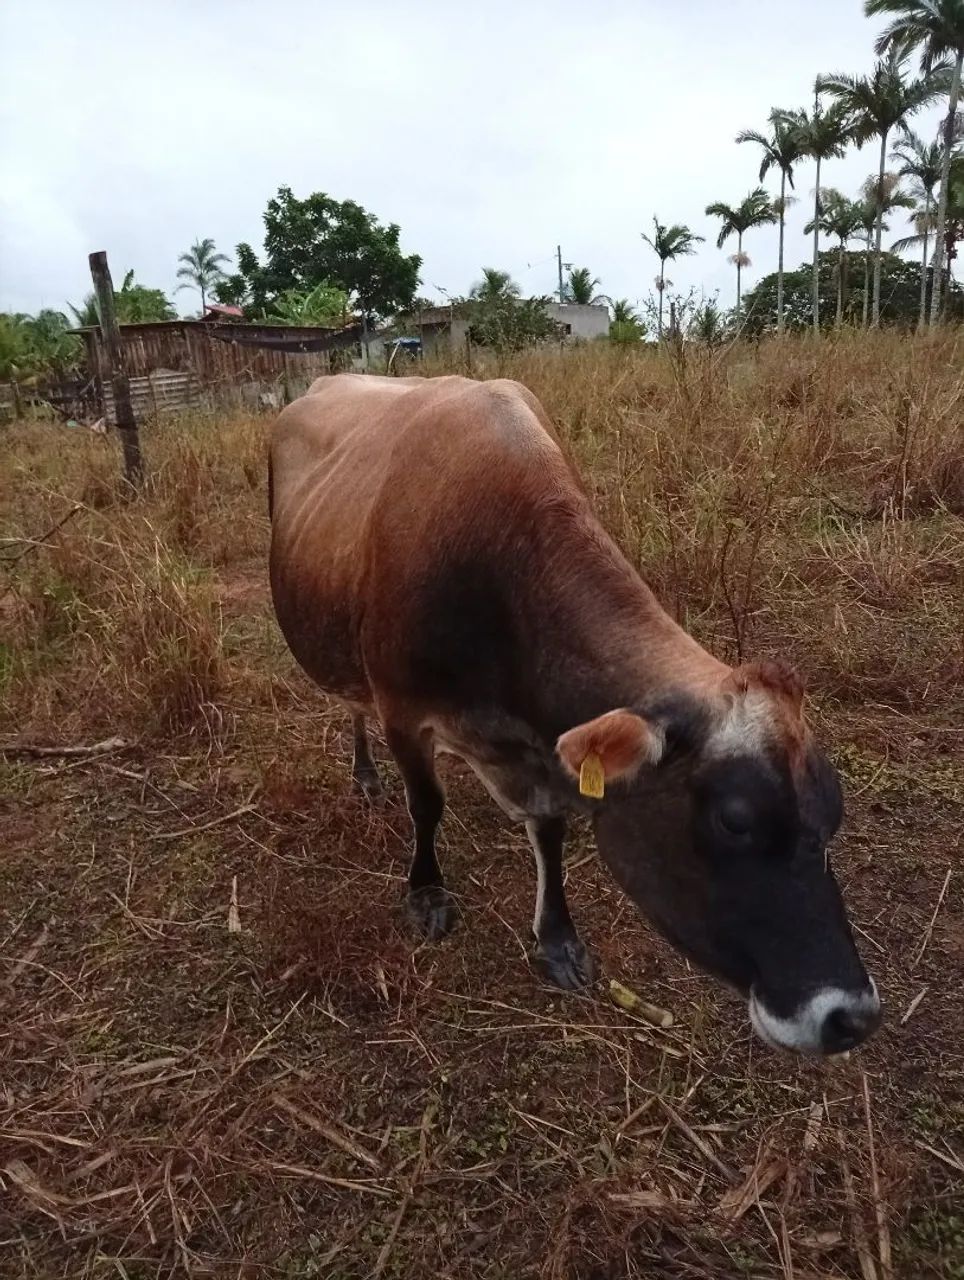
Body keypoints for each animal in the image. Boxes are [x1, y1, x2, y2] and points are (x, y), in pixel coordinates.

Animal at [269, 373, 881, 1056]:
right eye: (735, 820)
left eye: (832, 815)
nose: (851, 1016)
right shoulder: (403, 709)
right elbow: (426, 805)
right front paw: (425, 891)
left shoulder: (547, 750)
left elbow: (550, 829)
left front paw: (557, 937)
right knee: (352, 707)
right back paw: (366, 775)